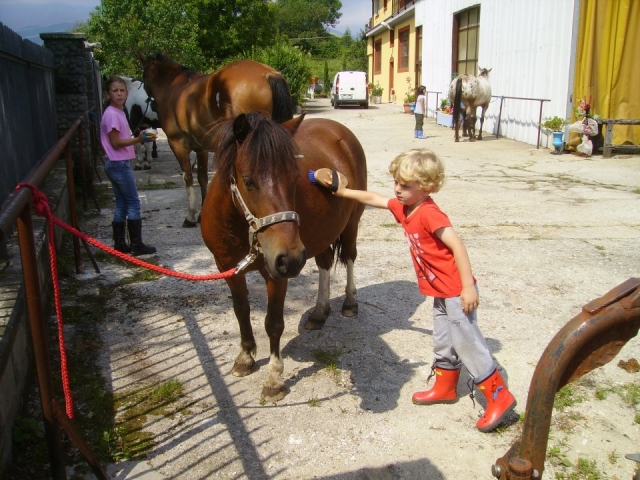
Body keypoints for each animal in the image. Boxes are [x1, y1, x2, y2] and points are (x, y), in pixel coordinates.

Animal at [138, 51, 294, 227]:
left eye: (144, 74)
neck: (173, 87)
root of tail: (267, 73)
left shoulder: (177, 143)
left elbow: (188, 177)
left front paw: (191, 216)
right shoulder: (201, 148)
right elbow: (202, 177)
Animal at [200, 112, 367, 402]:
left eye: (294, 178)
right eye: (248, 181)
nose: (291, 258)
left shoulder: (276, 275)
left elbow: (274, 323)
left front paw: (274, 379)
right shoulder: (227, 267)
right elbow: (241, 310)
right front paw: (245, 357)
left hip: (351, 224)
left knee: (349, 258)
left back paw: (349, 303)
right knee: (324, 264)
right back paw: (319, 313)